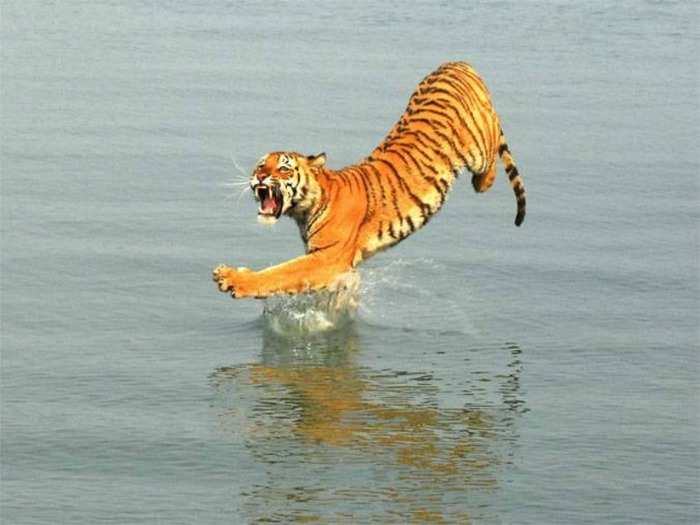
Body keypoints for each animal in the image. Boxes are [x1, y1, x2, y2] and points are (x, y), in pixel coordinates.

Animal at [213, 60, 524, 298]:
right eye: (260, 165)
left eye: (283, 169)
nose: (260, 176)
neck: (305, 209)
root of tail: (459, 63)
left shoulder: (327, 257)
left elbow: (280, 272)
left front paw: (231, 278)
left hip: (479, 147)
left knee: (493, 148)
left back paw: (482, 181)